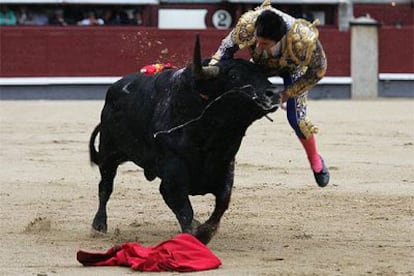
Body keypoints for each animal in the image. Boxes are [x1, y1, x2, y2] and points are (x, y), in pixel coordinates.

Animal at [88, 35, 280, 244]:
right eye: (234, 76)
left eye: (262, 74)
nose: (274, 94)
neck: (213, 134)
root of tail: (114, 89)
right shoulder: (174, 170)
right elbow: (183, 206)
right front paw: (195, 235)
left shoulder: (226, 164)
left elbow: (222, 201)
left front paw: (204, 231)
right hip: (109, 153)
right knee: (105, 186)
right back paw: (99, 225)